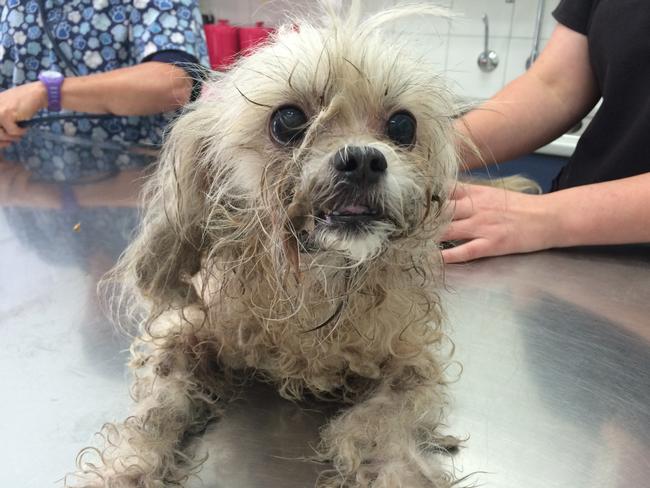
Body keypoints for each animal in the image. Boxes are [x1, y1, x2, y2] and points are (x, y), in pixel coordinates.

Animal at [66, 1, 460, 486]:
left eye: (402, 125)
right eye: (289, 120)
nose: (365, 160)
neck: (314, 283)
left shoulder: (410, 361)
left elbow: (379, 420)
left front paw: (399, 471)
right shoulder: (186, 332)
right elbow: (158, 410)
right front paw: (129, 467)